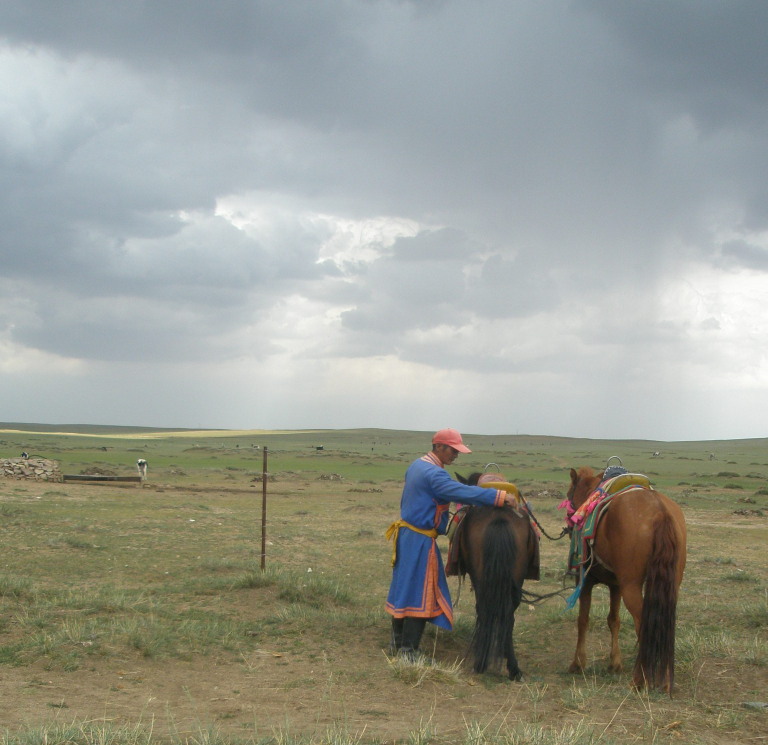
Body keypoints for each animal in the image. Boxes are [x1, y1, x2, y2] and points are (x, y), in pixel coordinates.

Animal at [450, 474, 540, 676]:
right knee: (508, 616)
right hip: (515, 581)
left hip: (481, 580)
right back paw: (513, 667)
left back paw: (482, 662)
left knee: (485, 610)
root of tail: (499, 517)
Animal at [568, 464, 688, 692]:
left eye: (569, 495)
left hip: (631, 587)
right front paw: (615, 663)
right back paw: (665, 680)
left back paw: (640, 679)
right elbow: (613, 621)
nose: (570, 526)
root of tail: (660, 511)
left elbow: (583, 620)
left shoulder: (586, 582)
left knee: (644, 622)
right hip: (669, 586)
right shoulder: (616, 584)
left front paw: (578, 663)